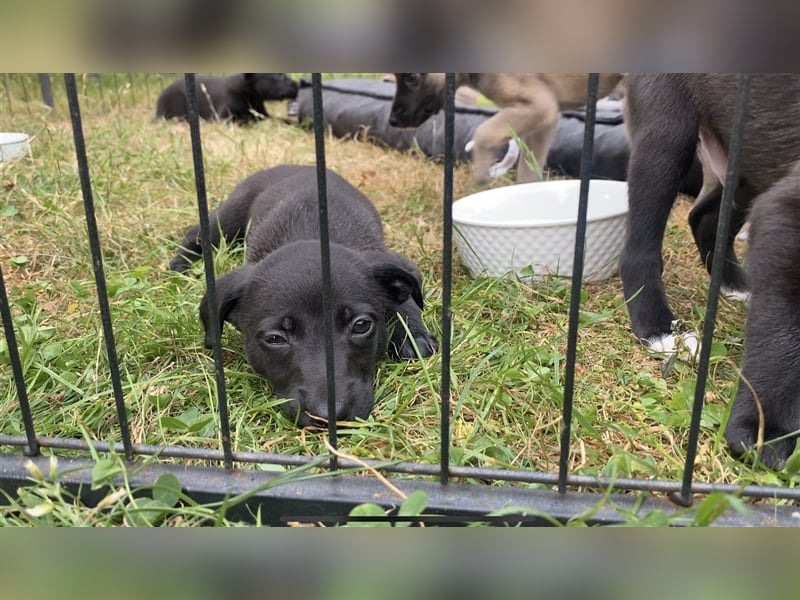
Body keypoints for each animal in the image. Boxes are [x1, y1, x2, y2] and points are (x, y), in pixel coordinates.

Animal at [155, 74, 298, 125]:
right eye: (278, 76)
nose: (297, 84)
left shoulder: (262, 112)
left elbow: (278, 118)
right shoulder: (225, 117)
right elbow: (247, 119)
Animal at [388, 72, 624, 183]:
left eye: (412, 76)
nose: (391, 121)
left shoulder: (540, 105)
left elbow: (484, 132)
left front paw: (482, 171)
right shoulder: (544, 120)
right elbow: (528, 172)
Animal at [624, 74, 800, 468]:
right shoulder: (787, 220)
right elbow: (784, 337)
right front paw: (766, 429)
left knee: (703, 217)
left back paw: (735, 284)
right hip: (668, 133)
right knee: (639, 245)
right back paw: (657, 326)